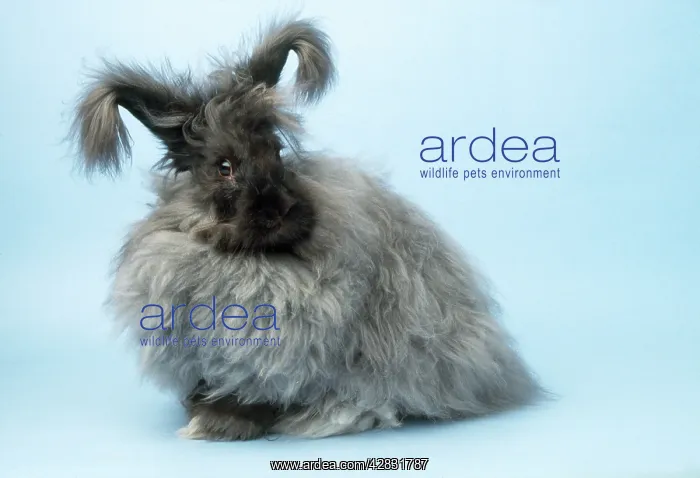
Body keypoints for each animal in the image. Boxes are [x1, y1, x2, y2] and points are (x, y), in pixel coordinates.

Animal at [69, 17, 545, 441]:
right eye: (224, 167)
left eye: (277, 152)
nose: (279, 211)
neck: (244, 259)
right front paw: (205, 416)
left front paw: (217, 425)